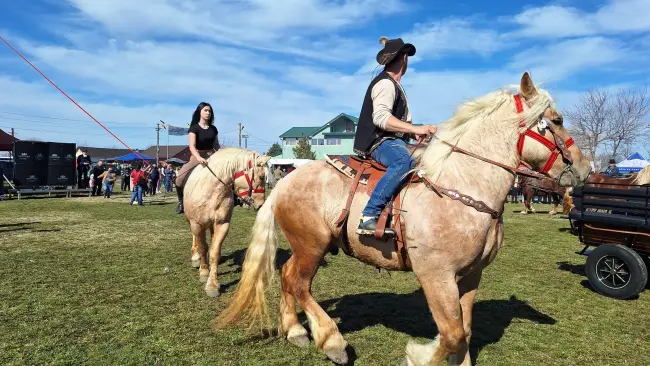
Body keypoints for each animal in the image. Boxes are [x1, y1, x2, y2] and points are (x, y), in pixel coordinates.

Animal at [180, 146, 268, 298]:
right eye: (262, 177)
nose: (261, 204)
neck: (211, 190)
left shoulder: (222, 224)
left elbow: (214, 252)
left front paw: (212, 285)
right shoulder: (197, 224)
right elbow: (202, 247)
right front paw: (204, 271)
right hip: (191, 221)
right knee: (195, 238)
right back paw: (195, 257)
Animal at [215, 73, 588, 364]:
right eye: (556, 121)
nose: (585, 168)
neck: (461, 186)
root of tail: (286, 182)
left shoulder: (471, 275)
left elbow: (464, 331)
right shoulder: (436, 275)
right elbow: (451, 334)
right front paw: (419, 355)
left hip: (307, 246)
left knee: (287, 275)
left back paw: (295, 331)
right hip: (312, 246)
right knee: (297, 282)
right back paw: (332, 342)